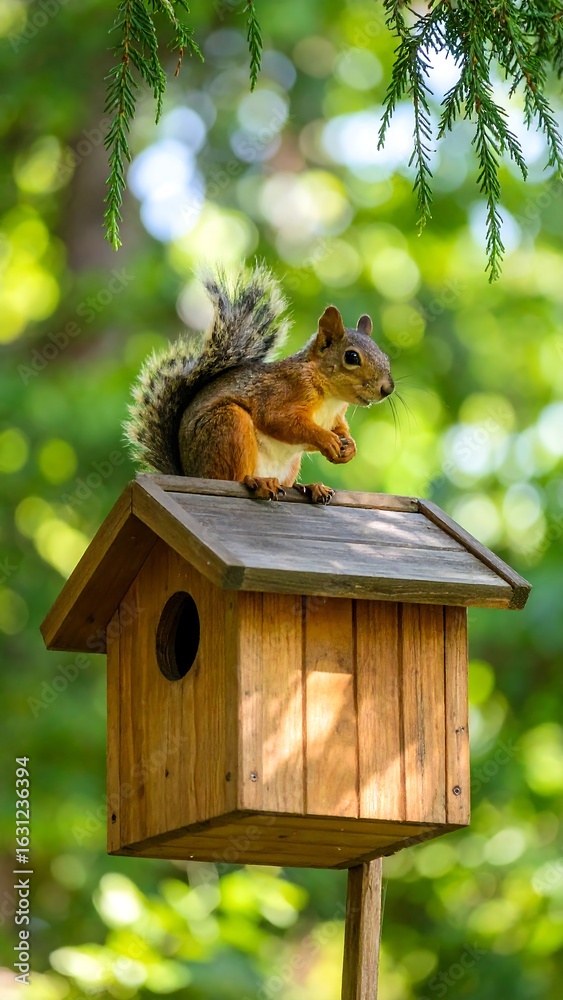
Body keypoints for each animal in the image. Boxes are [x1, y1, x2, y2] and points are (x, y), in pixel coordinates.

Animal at [125, 262, 394, 504]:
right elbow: (279, 421)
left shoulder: (336, 417)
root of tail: (191, 474)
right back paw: (259, 482)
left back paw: (310, 487)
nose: (387, 388)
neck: (331, 396)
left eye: (385, 356)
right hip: (228, 426)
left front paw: (350, 448)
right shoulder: (283, 391)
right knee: (233, 478)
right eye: (352, 357)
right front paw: (326, 439)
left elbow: (341, 430)